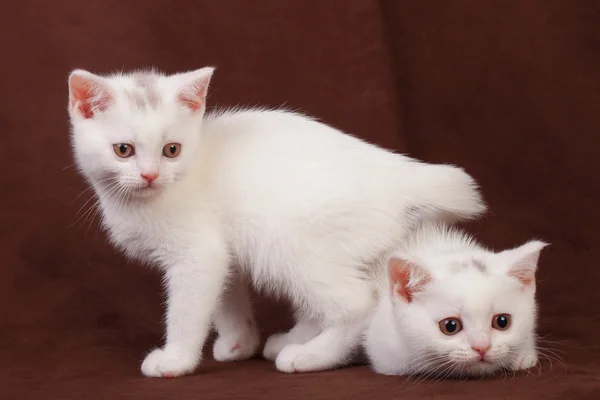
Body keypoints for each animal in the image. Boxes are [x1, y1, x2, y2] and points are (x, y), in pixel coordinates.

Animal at [67, 67, 488, 376]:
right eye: (123, 150)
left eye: (172, 150)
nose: (151, 175)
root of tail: (404, 173)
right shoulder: (223, 251)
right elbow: (227, 297)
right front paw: (239, 343)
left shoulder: (198, 253)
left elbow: (188, 309)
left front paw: (176, 360)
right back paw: (291, 340)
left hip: (286, 242)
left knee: (357, 302)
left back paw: (310, 356)